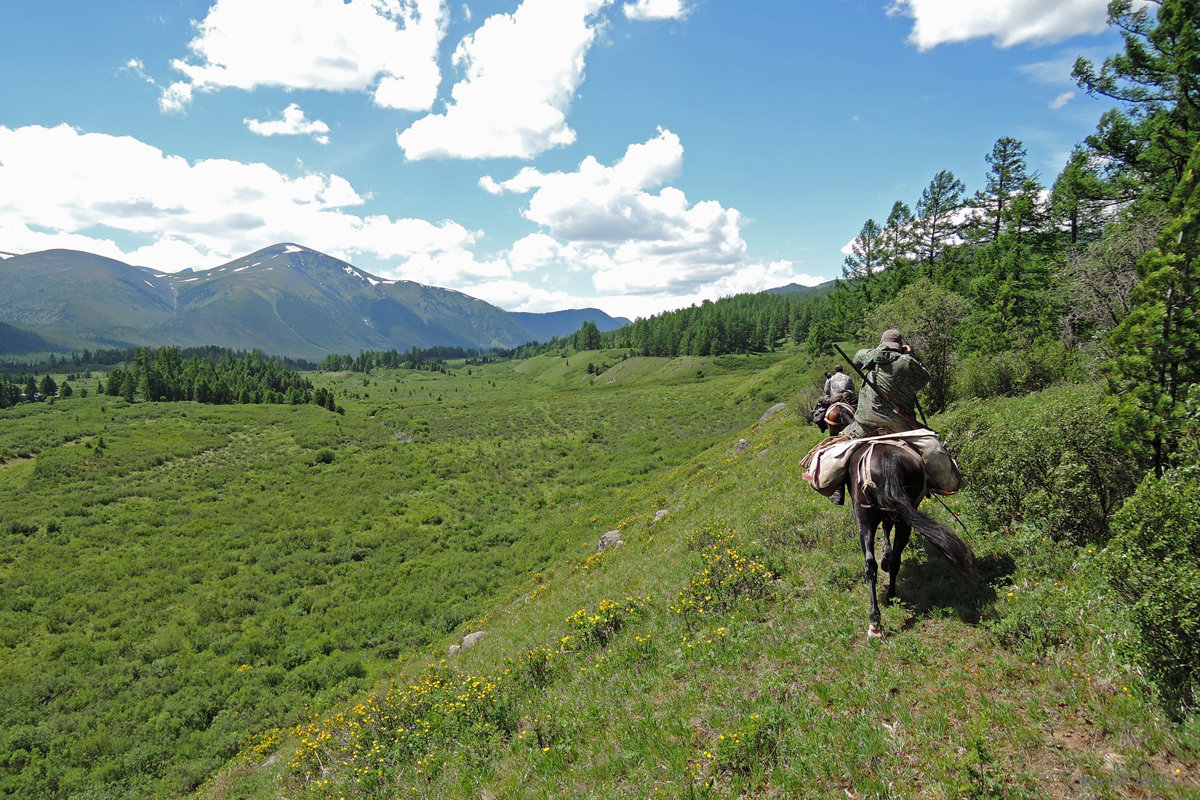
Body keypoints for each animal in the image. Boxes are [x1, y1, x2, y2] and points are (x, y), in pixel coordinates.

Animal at [844, 438, 974, 638]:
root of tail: (886, 456)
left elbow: (886, 529)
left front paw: (885, 554)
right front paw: (886, 555)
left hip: (871, 517)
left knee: (877, 563)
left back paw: (880, 613)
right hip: (895, 516)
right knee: (882, 562)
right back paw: (881, 613)